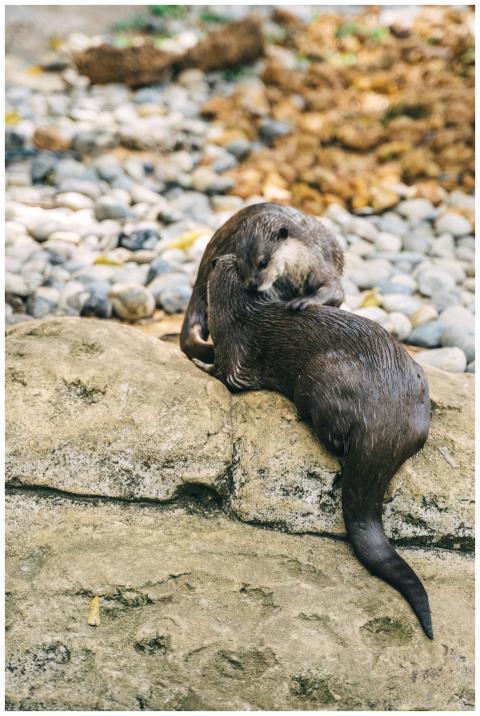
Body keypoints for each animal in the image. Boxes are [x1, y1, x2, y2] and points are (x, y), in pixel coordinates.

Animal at [180, 202, 344, 364]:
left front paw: (304, 301)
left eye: (263, 263)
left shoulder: (320, 261)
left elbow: (336, 290)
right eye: (239, 264)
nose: (251, 284)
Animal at [193, 254, 433, 639]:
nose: (221, 258)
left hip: (317, 378)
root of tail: (385, 419)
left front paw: (199, 362)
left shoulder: (234, 350)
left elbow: (226, 375)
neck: (238, 311)